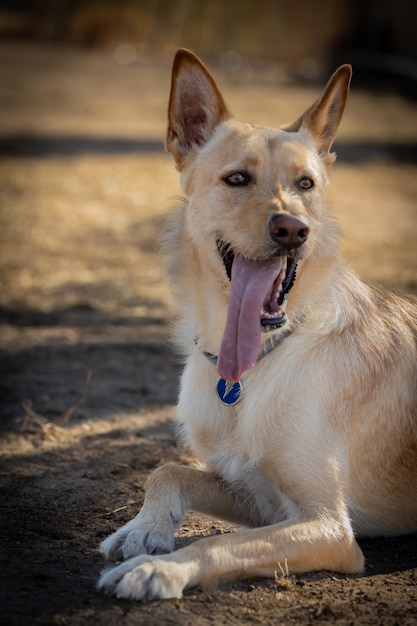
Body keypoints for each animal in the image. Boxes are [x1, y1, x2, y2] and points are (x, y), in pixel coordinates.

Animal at [97, 50, 416, 600]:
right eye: (237, 179)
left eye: (306, 184)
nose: (293, 230)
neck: (254, 366)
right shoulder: (258, 497)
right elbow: (167, 469)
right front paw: (142, 529)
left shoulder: (328, 526)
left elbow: (217, 544)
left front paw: (157, 569)